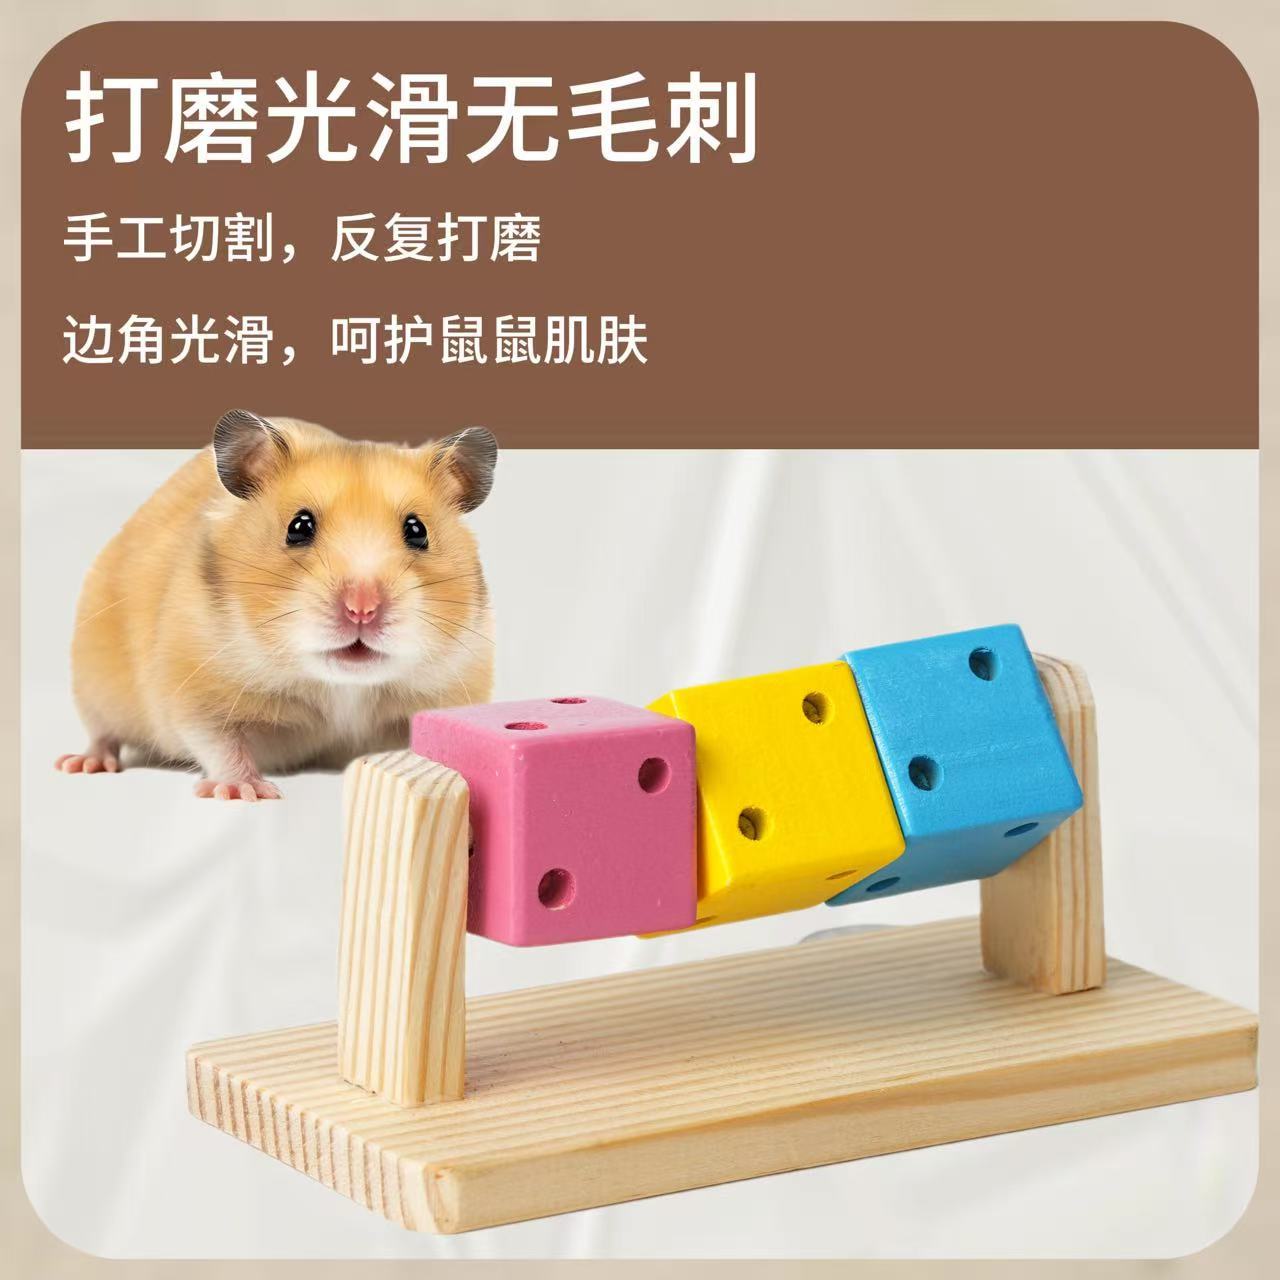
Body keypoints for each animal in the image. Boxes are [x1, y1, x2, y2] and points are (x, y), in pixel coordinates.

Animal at [56, 410, 497, 800]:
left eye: (417, 531)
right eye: (298, 526)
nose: (362, 609)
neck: (341, 687)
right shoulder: (193, 689)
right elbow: (220, 742)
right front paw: (246, 791)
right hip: (94, 685)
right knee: (102, 733)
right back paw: (83, 763)